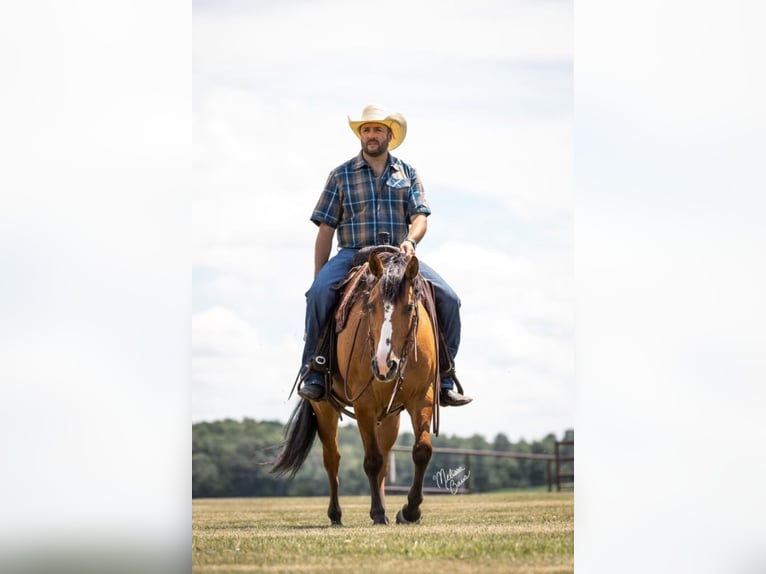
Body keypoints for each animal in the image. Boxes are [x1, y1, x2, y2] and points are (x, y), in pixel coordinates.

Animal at [272, 248, 438, 528]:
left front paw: (410, 511)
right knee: (332, 459)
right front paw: (379, 513)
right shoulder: (364, 404)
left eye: (409, 307)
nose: (384, 364)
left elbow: (421, 451)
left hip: (390, 416)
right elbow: (371, 460)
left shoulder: (422, 397)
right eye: (370, 305)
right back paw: (336, 514)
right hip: (324, 409)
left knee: (384, 459)